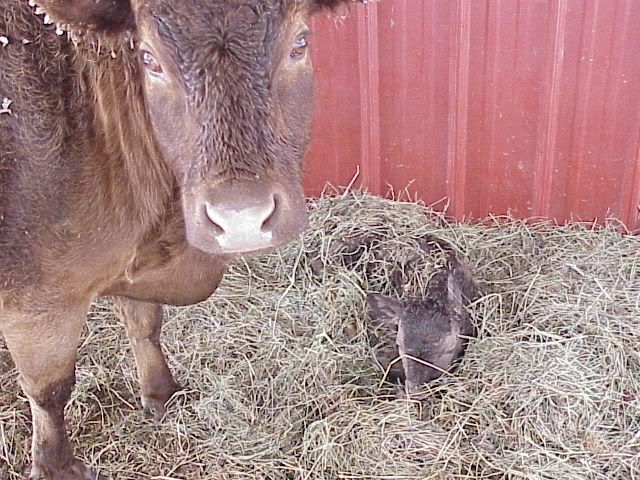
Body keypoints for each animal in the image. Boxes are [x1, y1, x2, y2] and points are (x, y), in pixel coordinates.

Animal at [0, 0, 362, 478]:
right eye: (149, 59)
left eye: (299, 44)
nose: (241, 217)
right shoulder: (36, 299)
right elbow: (50, 390)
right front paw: (57, 466)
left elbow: (144, 326)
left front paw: (161, 392)